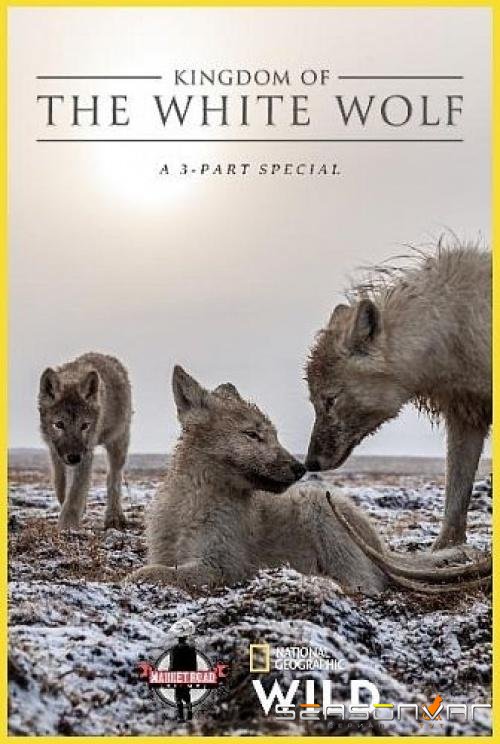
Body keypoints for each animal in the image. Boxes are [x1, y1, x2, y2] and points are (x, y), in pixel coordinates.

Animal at [38, 352, 132, 530]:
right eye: (59, 424)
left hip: (117, 443)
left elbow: (75, 493)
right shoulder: (55, 451)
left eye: (84, 426)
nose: (74, 457)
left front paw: (67, 526)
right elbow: (60, 484)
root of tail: (108, 357)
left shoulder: (86, 454)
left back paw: (114, 517)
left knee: (113, 478)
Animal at [126, 366, 489, 595]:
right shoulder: (171, 554)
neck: (194, 500)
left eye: (271, 435)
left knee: (364, 585)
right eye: (252, 435)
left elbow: (151, 574)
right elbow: (158, 568)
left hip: (320, 510)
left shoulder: (224, 566)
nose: (300, 468)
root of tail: (378, 542)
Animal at [306, 243, 491, 550]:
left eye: (330, 400)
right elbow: (455, 498)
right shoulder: (466, 416)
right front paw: (444, 551)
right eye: (314, 401)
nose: (310, 463)